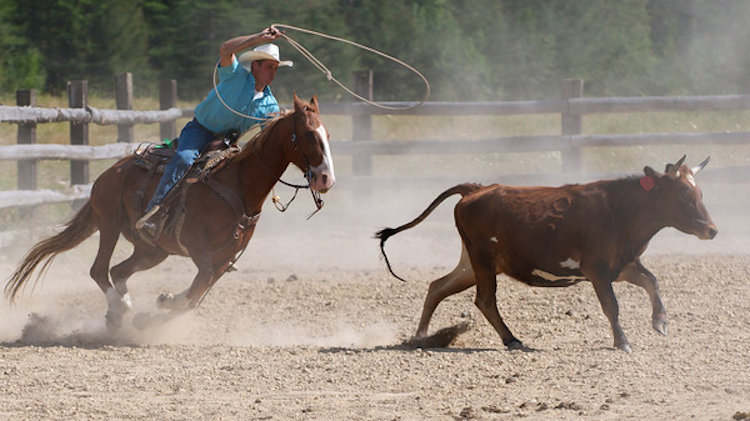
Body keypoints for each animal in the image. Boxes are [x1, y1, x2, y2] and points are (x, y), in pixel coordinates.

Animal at [5, 95, 334, 328]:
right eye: (308, 134)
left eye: (327, 134)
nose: (325, 178)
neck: (237, 185)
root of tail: (109, 172)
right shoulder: (196, 243)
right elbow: (199, 281)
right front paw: (163, 303)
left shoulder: (225, 258)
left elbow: (195, 296)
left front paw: (160, 308)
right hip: (109, 223)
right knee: (99, 270)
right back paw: (121, 308)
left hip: (153, 250)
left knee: (118, 271)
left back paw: (121, 313)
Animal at [378, 155, 720, 352]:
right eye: (683, 193)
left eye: (700, 192)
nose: (712, 230)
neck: (620, 208)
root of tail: (476, 189)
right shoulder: (597, 270)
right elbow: (612, 306)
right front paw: (622, 342)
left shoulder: (623, 265)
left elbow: (652, 282)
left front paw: (660, 322)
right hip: (482, 260)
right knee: (485, 299)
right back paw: (512, 340)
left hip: (473, 264)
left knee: (437, 288)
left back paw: (421, 337)